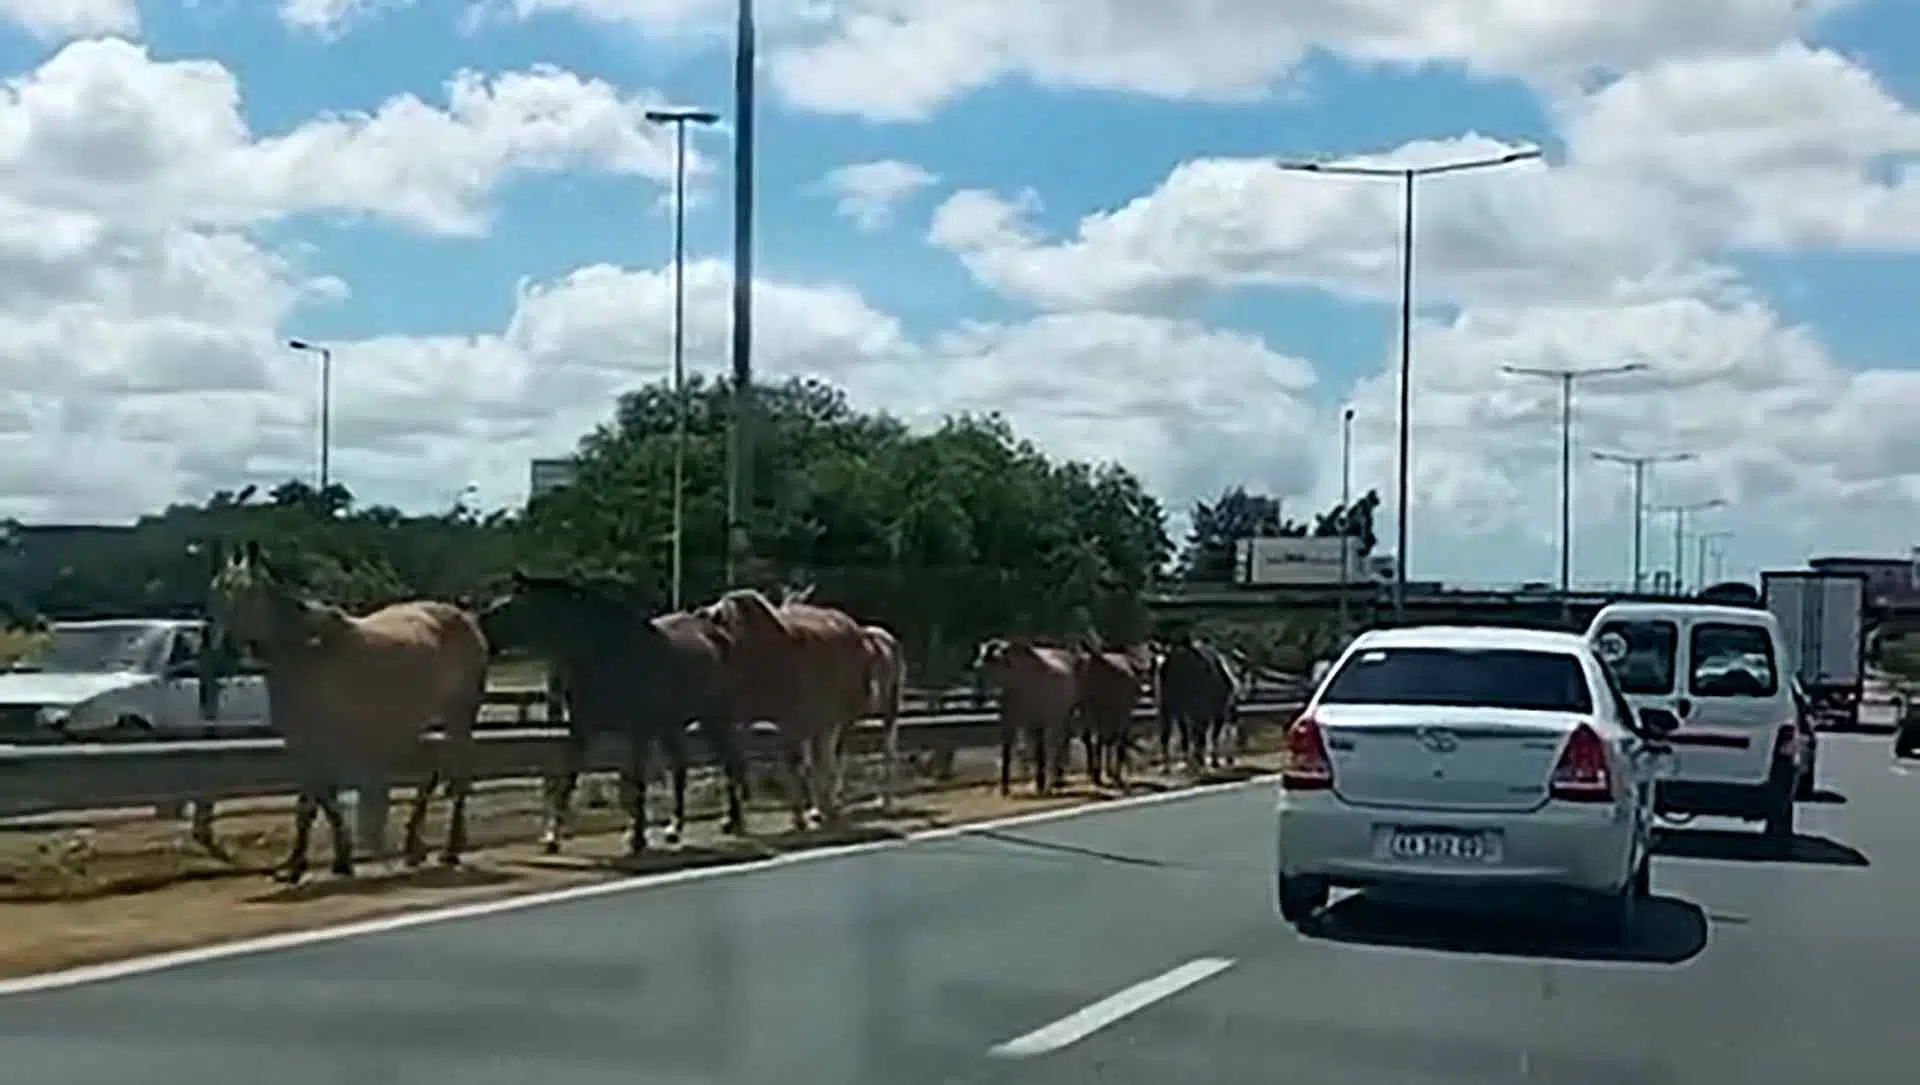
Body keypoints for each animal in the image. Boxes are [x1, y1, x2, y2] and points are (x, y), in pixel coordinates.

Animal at [203, 541, 483, 879]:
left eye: (247, 593)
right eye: (216, 590)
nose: (224, 648)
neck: (306, 651)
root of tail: (467, 618)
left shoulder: (327, 739)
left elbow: (317, 800)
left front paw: (318, 863)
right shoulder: (303, 741)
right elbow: (318, 801)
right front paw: (320, 861)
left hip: (460, 715)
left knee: (458, 774)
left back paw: (449, 851)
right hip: (428, 721)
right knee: (434, 773)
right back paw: (415, 849)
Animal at [695, 587, 867, 825]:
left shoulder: (793, 719)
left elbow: (793, 763)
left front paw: (799, 816)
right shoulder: (736, 721)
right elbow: (734, 763)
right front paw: (733, 819)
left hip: (841, 716)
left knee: (830, 757)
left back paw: (827, 806)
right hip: (820, 720)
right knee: (818, 757)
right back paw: (820, 808)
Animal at [975, 633, 1082, 795]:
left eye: (994, 666)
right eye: (978, 668)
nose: (980, 699)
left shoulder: (1036, 722)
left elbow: (1038, 752)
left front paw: (1040, 784)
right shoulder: (1009, 724)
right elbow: (1008, 752)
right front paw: (1004, 788)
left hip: (1062, 717)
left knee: (1060, 744)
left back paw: (1056, 779)